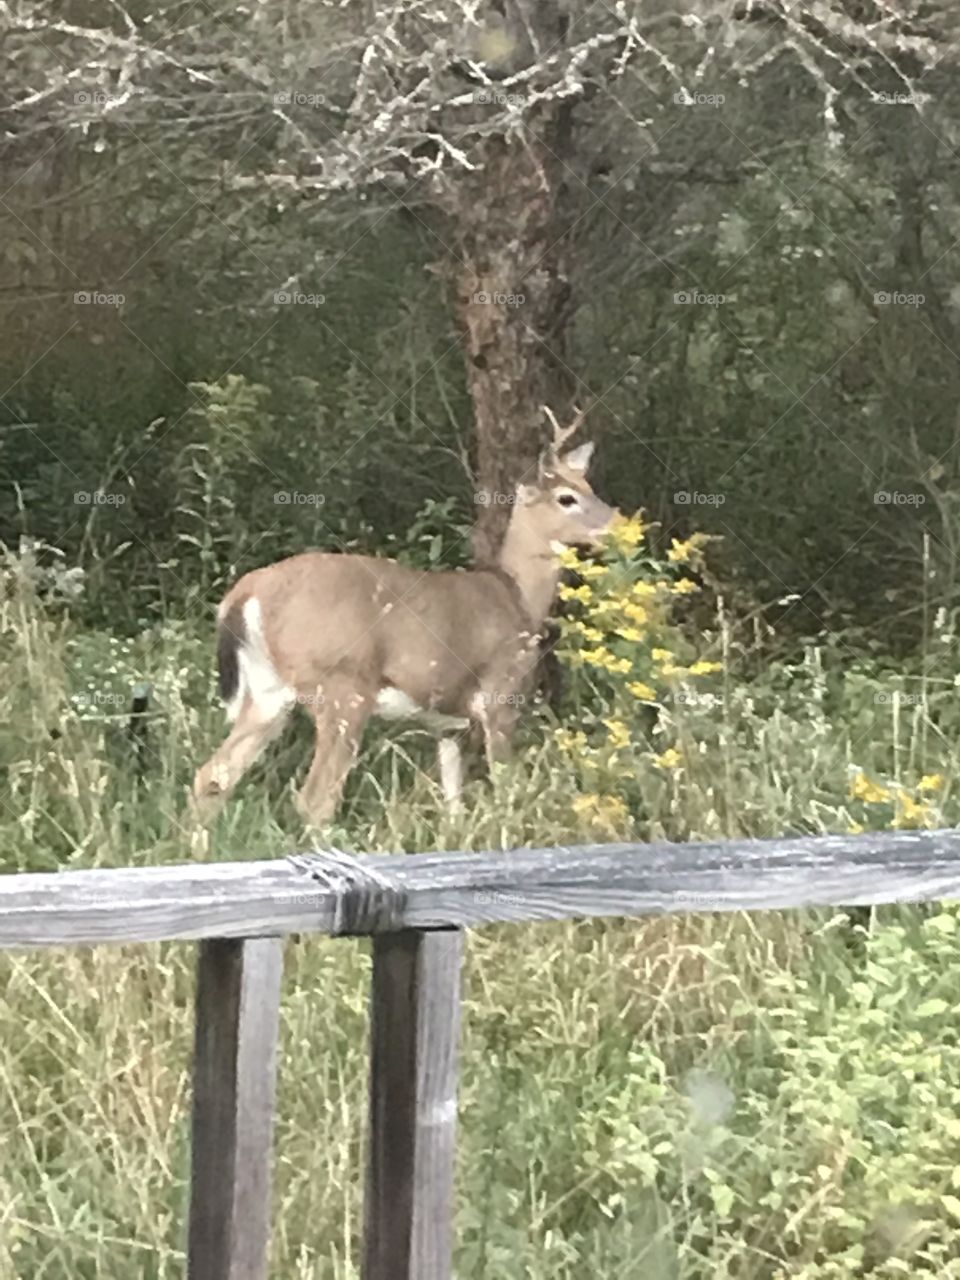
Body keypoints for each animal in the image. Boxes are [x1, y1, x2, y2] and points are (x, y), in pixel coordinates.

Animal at [191, 407, 617, 826]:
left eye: (591, 487)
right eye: (566, 497)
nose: (617, 523)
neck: (519, 598)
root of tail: (246, 591)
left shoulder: (447, 723)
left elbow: (453, 805)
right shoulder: (501, 691)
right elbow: (506, 790)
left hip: (267, 689)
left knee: (213, 776)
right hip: (342, 687)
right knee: (315, 799)